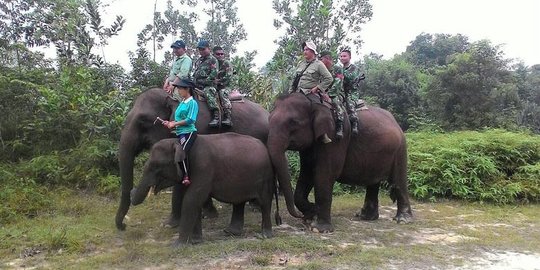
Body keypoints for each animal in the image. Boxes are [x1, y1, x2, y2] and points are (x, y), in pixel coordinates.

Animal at [114, 87, 288, 231]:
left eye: (143, 121)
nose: (123, 226)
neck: (174, 98)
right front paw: (204, 214)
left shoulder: (199, 127)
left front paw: (171, 224)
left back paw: (256, 206)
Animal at [130, 134, 280, 246]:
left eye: (156, 165)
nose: (131, 192)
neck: (181, 143)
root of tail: (265, 147)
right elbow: (194, 201)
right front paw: (195, 241)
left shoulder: (203, 167)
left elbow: (191, 199)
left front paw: (177, 246)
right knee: (239, 201)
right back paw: (230, 232)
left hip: (265, 176)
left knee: (265, 202)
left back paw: (265, 235)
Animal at [266, 93, 414, 232]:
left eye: (293, 122)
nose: (278, 219)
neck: (314, 101)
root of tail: (396, 122)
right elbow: (306, 174)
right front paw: (311, 215)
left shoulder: (336, 136)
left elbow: (325, 174)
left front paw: (318, 228)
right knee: (373, 183)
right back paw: (365, 216)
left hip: (401, 149)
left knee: (399, 181)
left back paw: (403, 220)